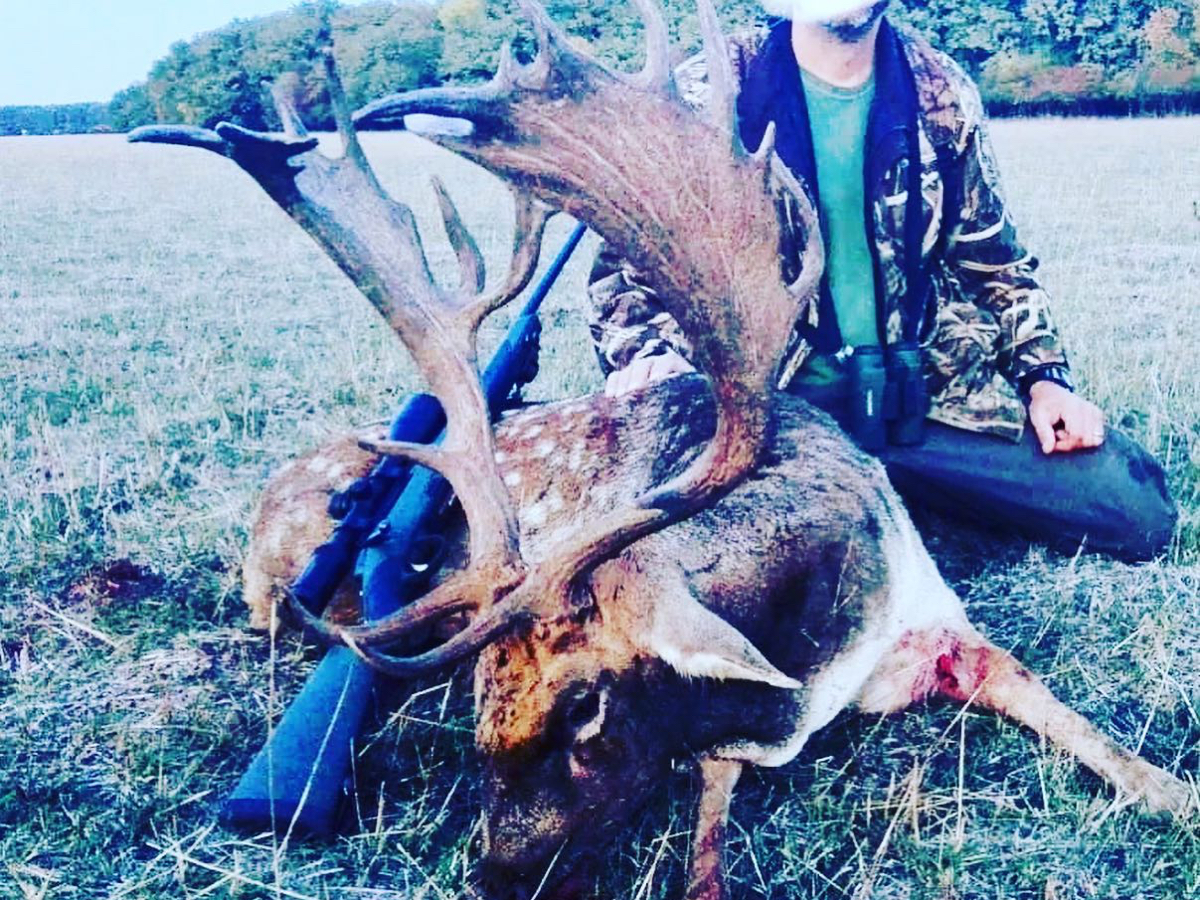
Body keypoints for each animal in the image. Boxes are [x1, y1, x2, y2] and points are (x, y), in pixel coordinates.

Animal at [131, 1, 1194, 897]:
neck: (815, 652)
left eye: (585, 709)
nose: (495, 879)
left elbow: (1071, 718)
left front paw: (1175, 796)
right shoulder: (725, 739)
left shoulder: (936, 621)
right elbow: (707, 858)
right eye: (477, 708)